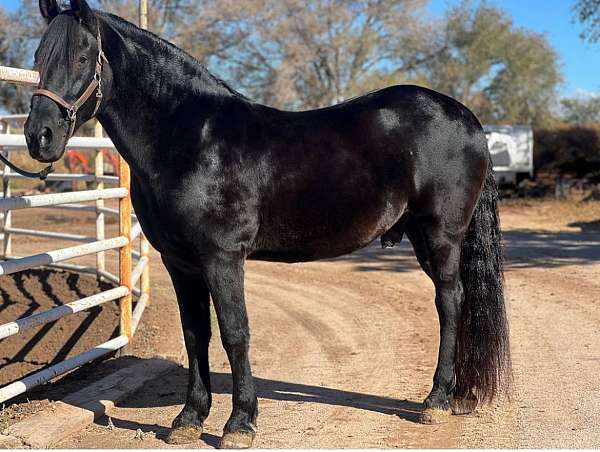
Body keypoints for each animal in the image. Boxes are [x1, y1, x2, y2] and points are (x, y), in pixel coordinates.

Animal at [24, 0, 510, 448]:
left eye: (82, 57)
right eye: (37, 56)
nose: (38, 136)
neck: (189, 139)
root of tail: (467, 119)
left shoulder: (222, 258)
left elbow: (235, 333)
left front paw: (239, 424)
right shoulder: (181, 263)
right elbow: (195, 334)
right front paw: (189, 419)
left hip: (441, 235)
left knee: (449, 302)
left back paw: (437, 400)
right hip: (422, 237)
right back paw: (455, 395)